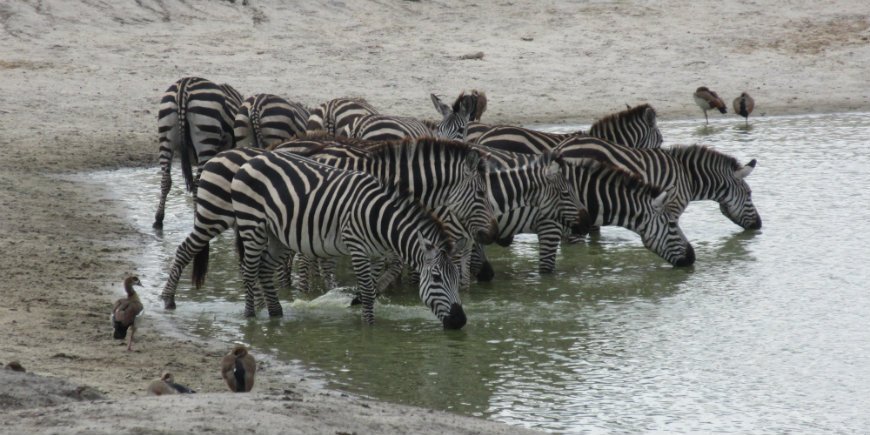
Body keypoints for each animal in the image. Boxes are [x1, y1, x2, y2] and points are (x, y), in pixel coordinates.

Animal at [153, 76, 243, 229]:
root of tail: (184, 85)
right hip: (206, 138)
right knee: (197, 184)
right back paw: (197, 219)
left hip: (165, 136)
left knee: (166, 180)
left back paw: (158, 219)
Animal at [231, 150, 467, 328]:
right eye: (436, 278)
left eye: (456, 278)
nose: (460, 321)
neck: (379, 219)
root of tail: (253, 159)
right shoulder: (357, 248)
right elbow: (368, 292)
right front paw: (368, 328)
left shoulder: (377, 254)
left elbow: (370, 290)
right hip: (252, 225)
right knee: (249, 271)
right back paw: (250, 317)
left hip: (276, 236)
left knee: (264, 269)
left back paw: (276, 314)